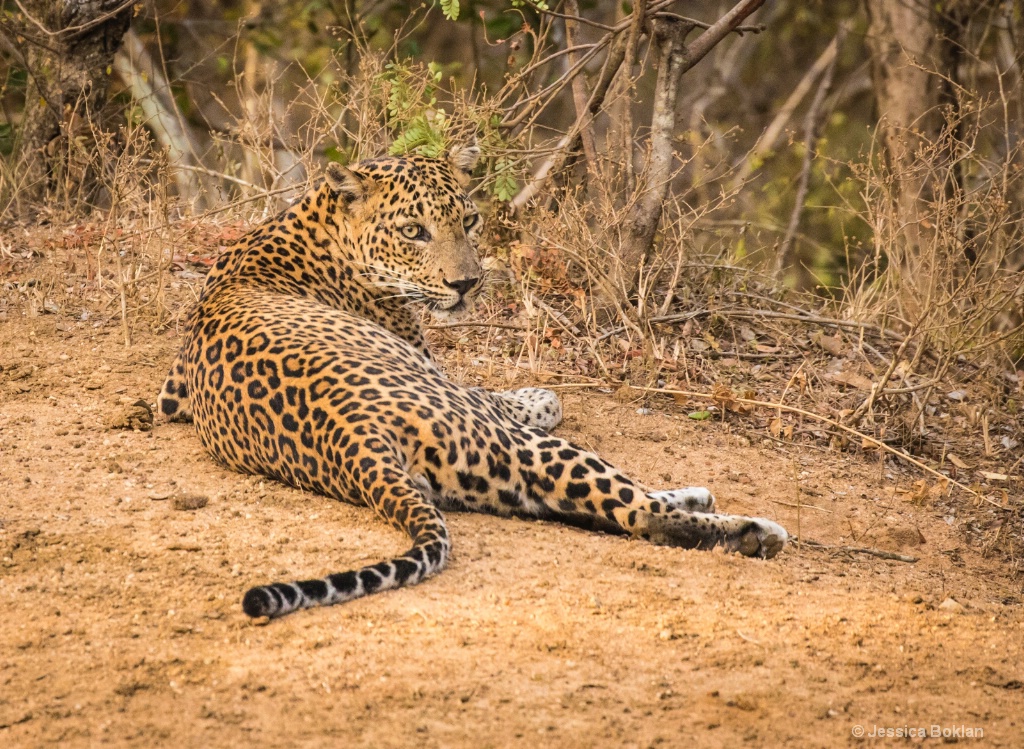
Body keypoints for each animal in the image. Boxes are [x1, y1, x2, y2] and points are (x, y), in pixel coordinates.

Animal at [157, 145, 782, 622]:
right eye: (413, 231)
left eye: (469, 221)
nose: (467, 284)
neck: (314, 224)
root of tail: (357, 442)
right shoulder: (449, 379)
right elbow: (535, 398)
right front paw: (542, 393)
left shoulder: (170, 394)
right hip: (511, 442)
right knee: (637, 512)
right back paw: (756, 531)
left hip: (495, 479)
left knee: (602, 507)